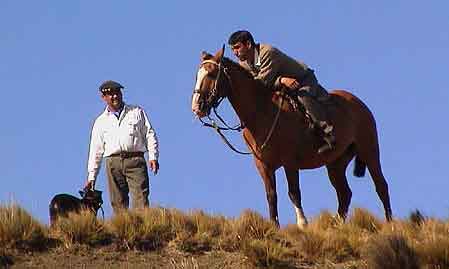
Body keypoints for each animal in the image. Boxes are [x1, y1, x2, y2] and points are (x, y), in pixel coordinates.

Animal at [191, 47, 390, 226]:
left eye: (211, 74)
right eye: (197, 75)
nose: (196, 107)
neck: (261, 111)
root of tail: (358, 102)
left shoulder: (290, 162)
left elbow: (294, 193)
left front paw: (302, 224)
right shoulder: (263, 165)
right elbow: (271, 195)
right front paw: (274, 226)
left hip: (369, 150)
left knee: (381, 186)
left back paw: (390, 223)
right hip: (336, 163)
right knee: (344, 194)